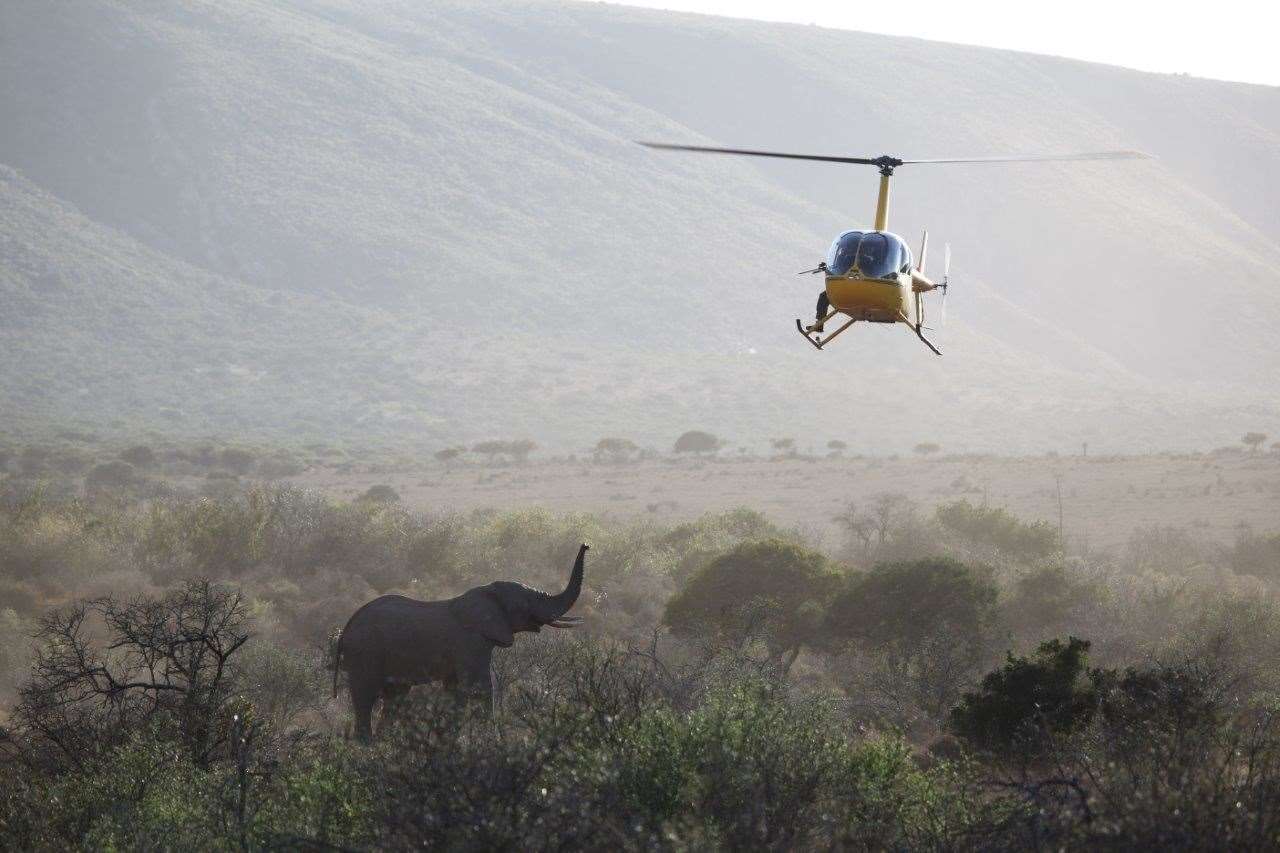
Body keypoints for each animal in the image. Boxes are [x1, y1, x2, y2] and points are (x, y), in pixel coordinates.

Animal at [330, 545, 588, 737]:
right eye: (526, 604)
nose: (586, 544)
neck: (487, 592)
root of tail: (346, 629)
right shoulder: (471, 643)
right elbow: (480, 687)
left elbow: (454, 690)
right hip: (365, 652)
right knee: (365, 698)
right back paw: (368, 748)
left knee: (394, 698)